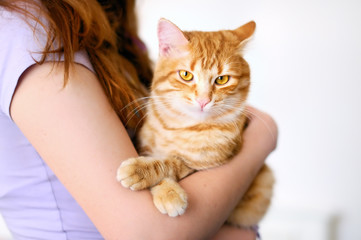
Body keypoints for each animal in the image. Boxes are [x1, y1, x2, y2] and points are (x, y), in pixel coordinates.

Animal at [116, 18, 274, 227]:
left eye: (222, 79)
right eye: (186, 75)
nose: (203, 100)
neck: (178, 127)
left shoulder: (204, 165)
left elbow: (172, 162)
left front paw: (143, 172)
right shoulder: (144, 147)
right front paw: (166, 189)